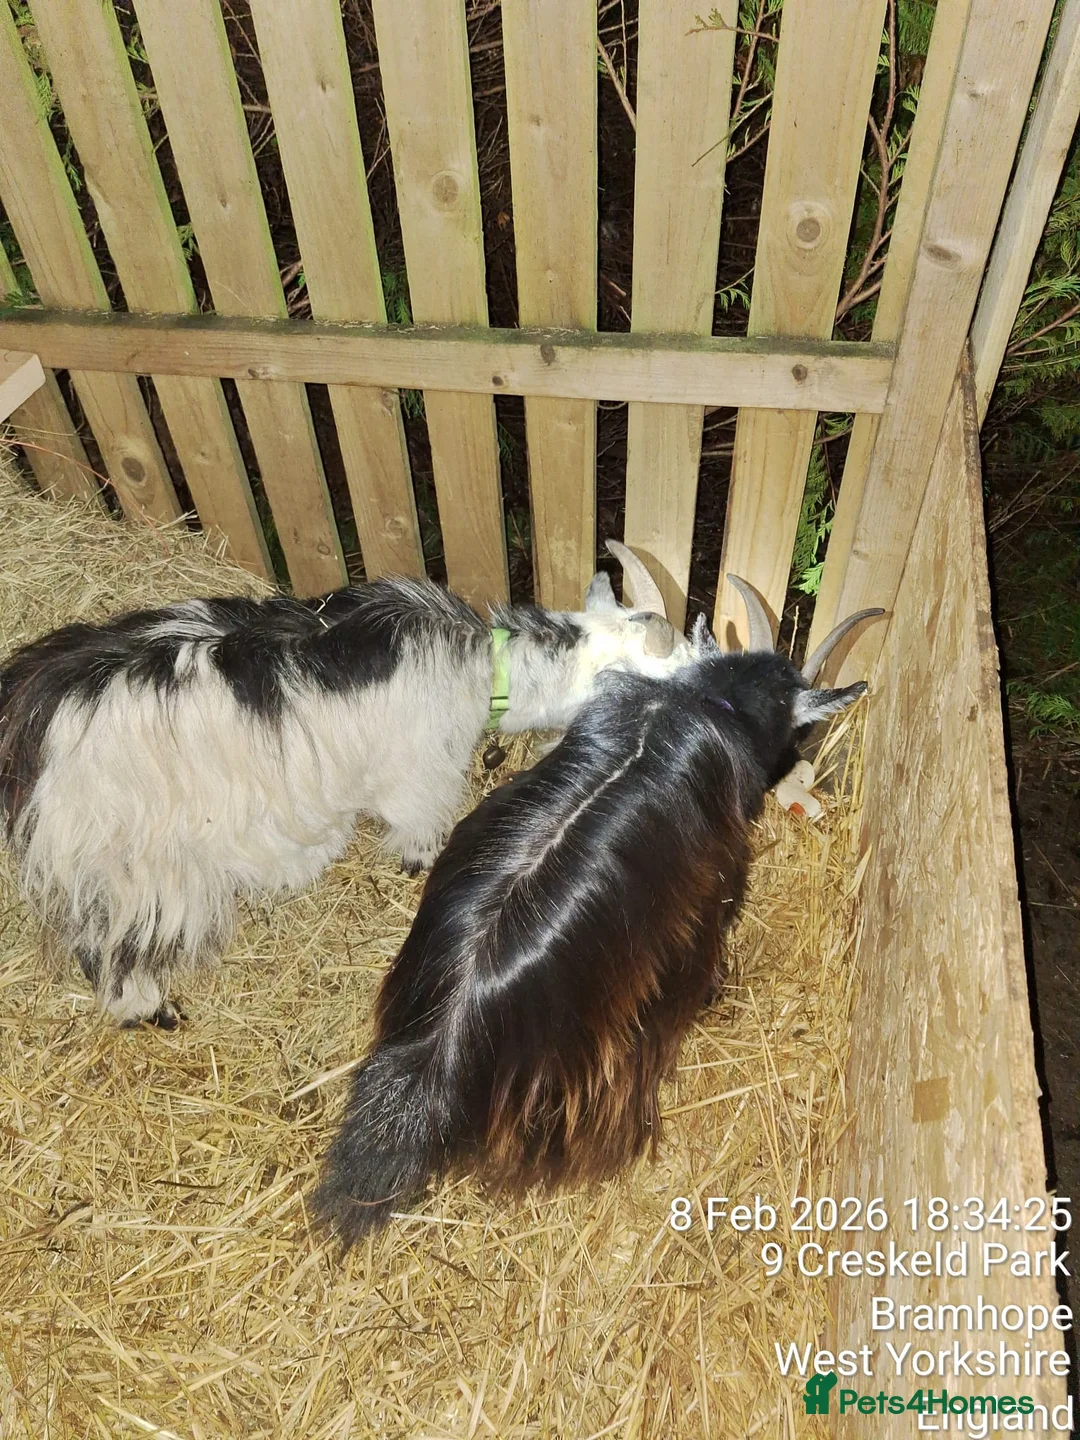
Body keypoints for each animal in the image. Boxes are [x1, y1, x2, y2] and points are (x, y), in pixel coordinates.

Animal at [0, 543, 686, 1028]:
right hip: (130, 858)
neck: (480, 666)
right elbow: (416, 832)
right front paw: (413, 864)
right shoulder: (416, 779)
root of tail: (28, 722)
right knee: (111, 942)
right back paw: (150, 1010)